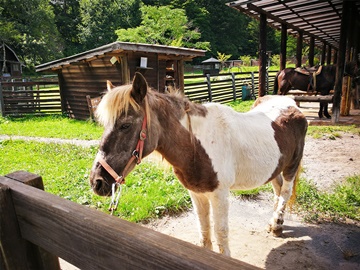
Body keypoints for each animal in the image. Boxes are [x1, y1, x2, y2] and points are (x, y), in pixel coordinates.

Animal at [90, 73, 306, 256]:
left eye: (125, 125)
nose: (96, 182)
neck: (196, 146)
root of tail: (291, 104)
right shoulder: (196, 192)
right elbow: (204, 230)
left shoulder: (220, 194)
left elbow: (220, 233)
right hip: (275, 167)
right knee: (278, 189)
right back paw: (273, 222)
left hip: (291, 166)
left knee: (285, 192)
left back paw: (277, 225)